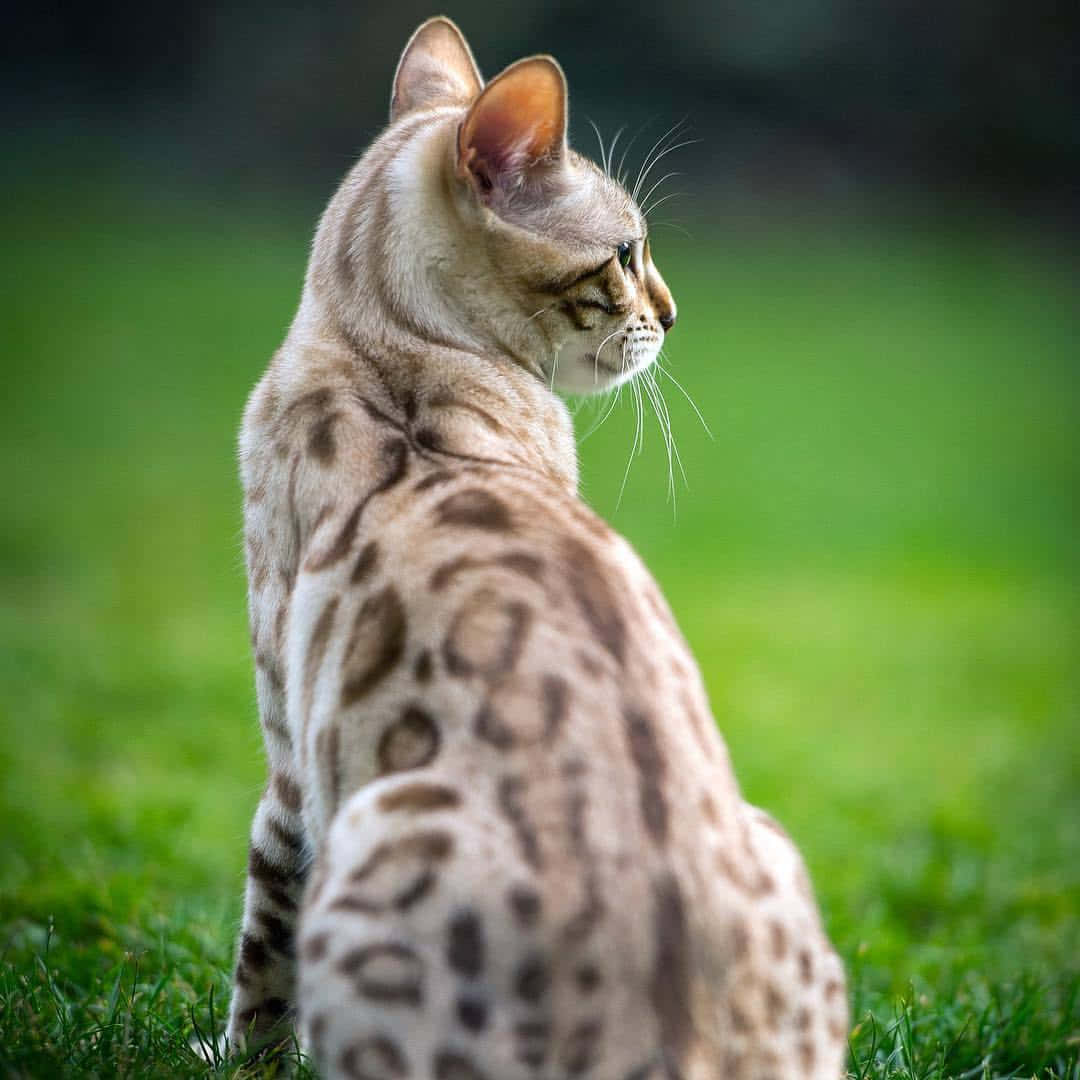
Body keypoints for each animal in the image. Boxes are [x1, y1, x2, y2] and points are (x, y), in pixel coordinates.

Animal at [230, 16, 851, 1080]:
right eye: (627, 252)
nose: (673, 314)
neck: (383, 351)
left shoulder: (290, 763)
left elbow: (259, 962)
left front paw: (223, 1055)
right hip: (767, 833)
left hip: (370, 835)